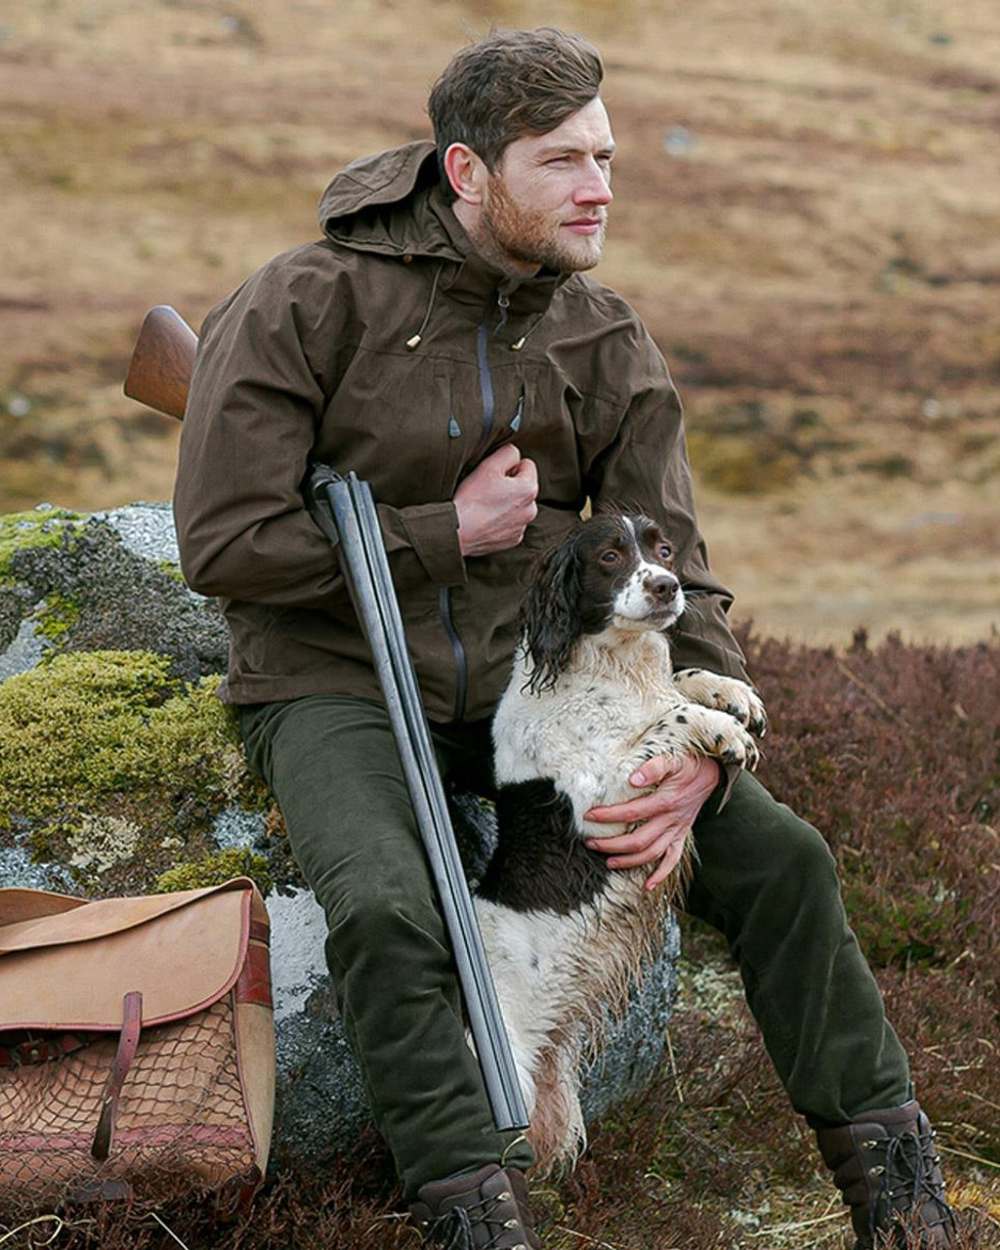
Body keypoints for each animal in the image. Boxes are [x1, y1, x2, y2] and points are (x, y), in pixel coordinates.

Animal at [475, 510, 765, 1170]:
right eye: (609, 556)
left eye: (663, 550)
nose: (666, 586)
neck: (610, 669)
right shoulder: (600, 799)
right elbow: (668, 720)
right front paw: (722, 729)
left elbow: (679, 683)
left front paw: (730, 693)